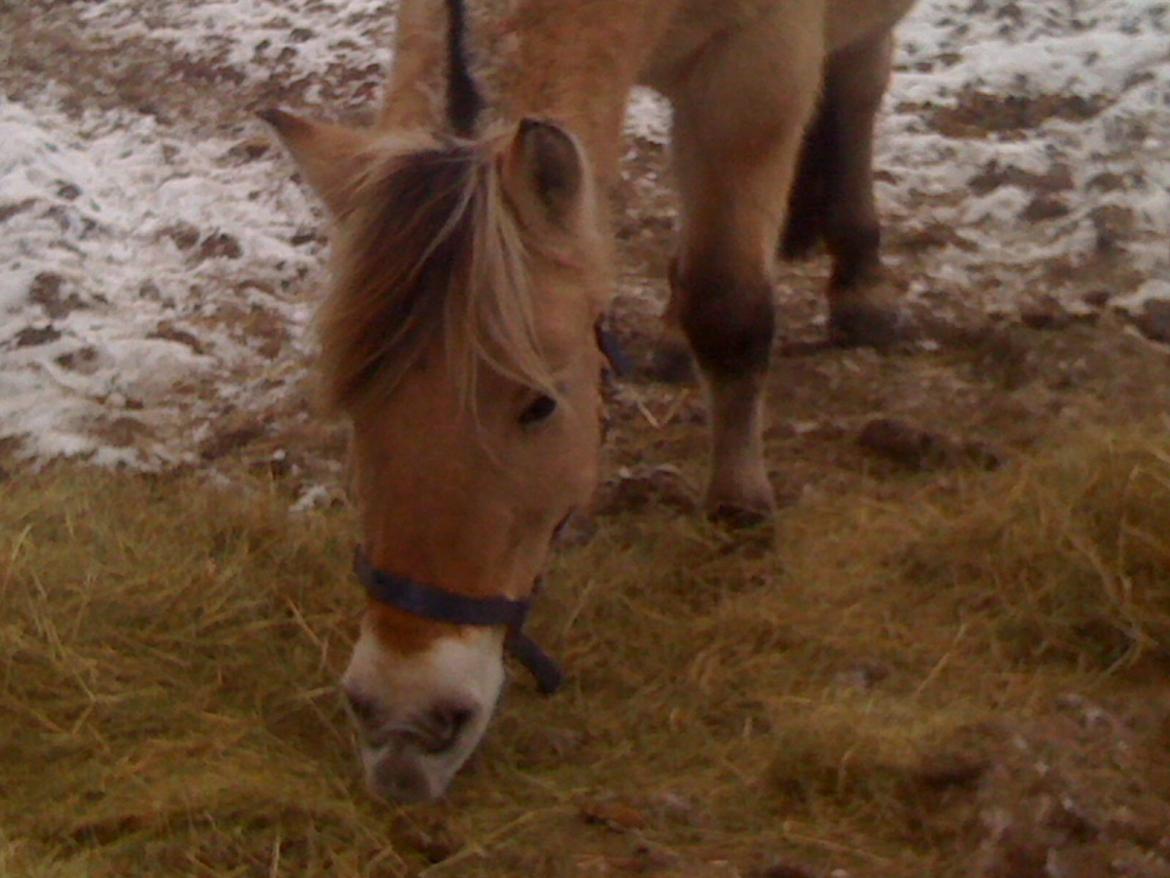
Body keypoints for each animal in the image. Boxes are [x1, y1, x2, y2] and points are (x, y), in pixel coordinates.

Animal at [263, 0, 912, 805]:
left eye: (539, 407)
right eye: (355, 403)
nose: (404, 724)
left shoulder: (753, 77)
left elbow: (729, 305)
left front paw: (738, 503)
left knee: (860, 82)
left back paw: (861, 282)